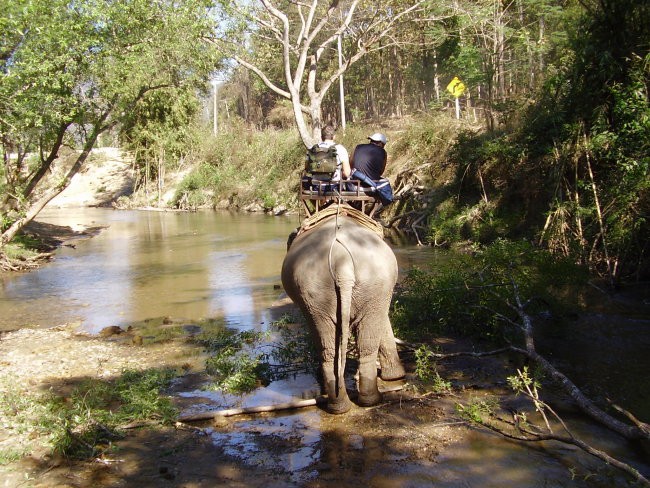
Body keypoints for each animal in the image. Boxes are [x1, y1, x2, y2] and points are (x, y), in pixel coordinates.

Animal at [280, 208, 402, 414]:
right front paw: (395, 377)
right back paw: (363, 401)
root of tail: (342, 264)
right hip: (357, 286)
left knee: (333, 346)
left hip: (330, 291)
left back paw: (346, 404)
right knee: (358, 344)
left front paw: (395, 377)